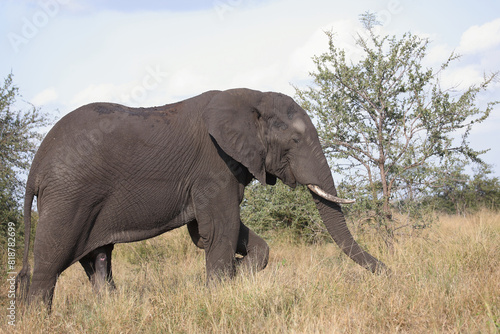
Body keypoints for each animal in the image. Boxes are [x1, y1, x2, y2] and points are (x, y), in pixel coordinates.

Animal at [14, 88, 382, 308]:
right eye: (294, 140)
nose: (388, 272)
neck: (251, 98)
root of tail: (36, 166)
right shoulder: (214, 167)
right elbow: (220, 230)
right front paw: (221, 292)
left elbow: (223, 232)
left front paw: (237, 274)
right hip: (69, 196)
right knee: (49, 265)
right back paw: (37, 319)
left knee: (99, 260)